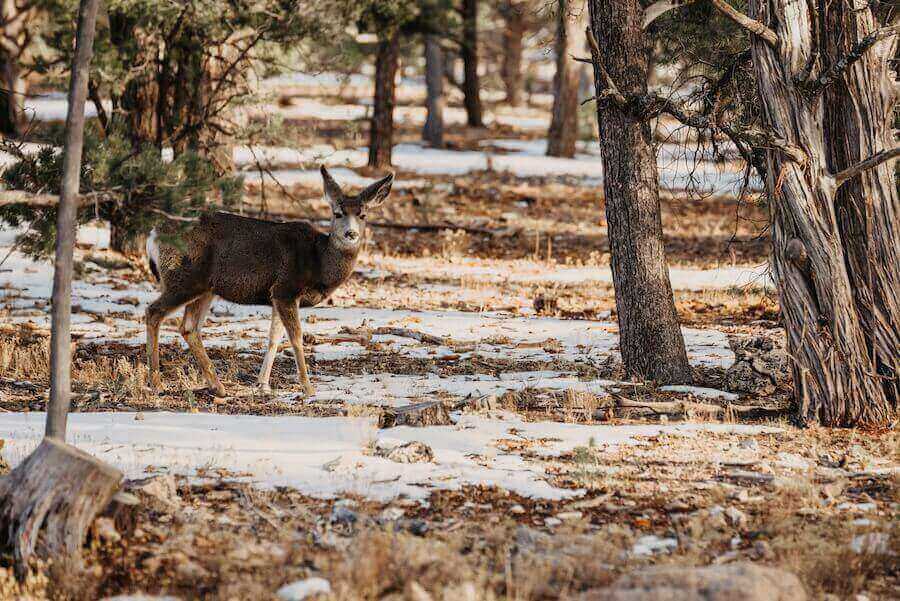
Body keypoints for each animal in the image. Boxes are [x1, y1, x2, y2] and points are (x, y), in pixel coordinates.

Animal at [146, 166, 392, 396]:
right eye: (337, 213)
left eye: (363, 215)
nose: (351, 234)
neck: (320, 261)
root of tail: (153, 234)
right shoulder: (286, 288)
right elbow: (296, 337)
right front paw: (308, 388)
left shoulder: (276, 295)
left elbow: (274, 337)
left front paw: (263, 384)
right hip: (184, 277)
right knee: (154, 311)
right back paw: (156, 383)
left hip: (206, 288)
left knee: (189, 327)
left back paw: (218, 386)